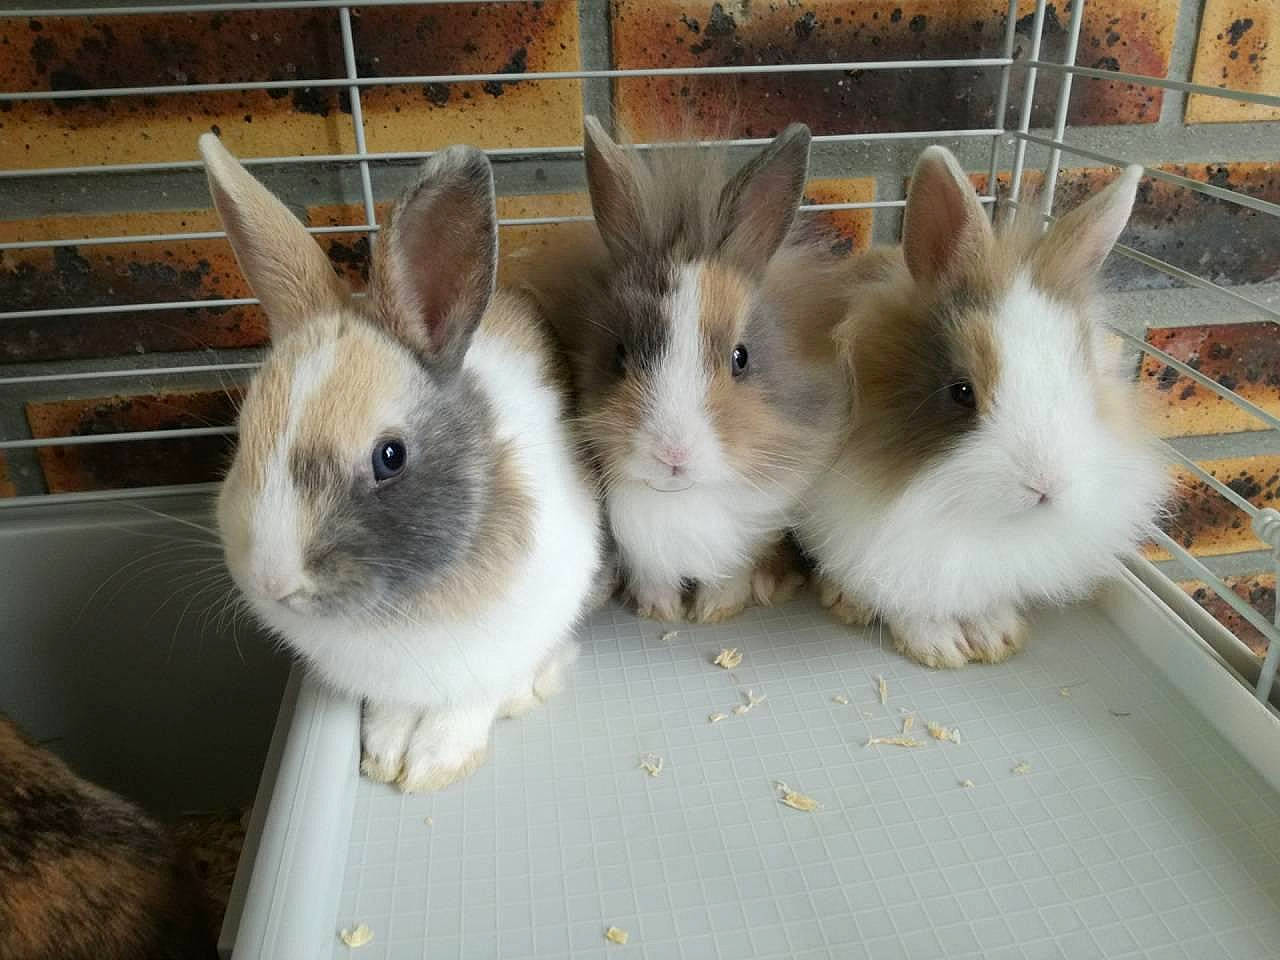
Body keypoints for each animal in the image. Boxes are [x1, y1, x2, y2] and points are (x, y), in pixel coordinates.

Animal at [201, 134, 603, 792]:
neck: (403, 610)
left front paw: (434, 766)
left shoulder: (504, 645)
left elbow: (469, 704)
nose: (272, 581)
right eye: (241, 437)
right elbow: (392, 712)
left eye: (390, 456)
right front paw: (385, 754)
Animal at [522, 118, 852, 624]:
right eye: (619, 354)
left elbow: (729, 575)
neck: (681, 499)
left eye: (741, 357)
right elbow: (654, 576)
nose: (672, 455)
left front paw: (715, 611)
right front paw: (660, 612)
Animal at [797, 145, 1169, 669]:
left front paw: (995, 635)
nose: (1045, 486)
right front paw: (941, 646)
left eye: (1081, 381)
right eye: (961, 391)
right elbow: (908, 598)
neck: (975, 519)